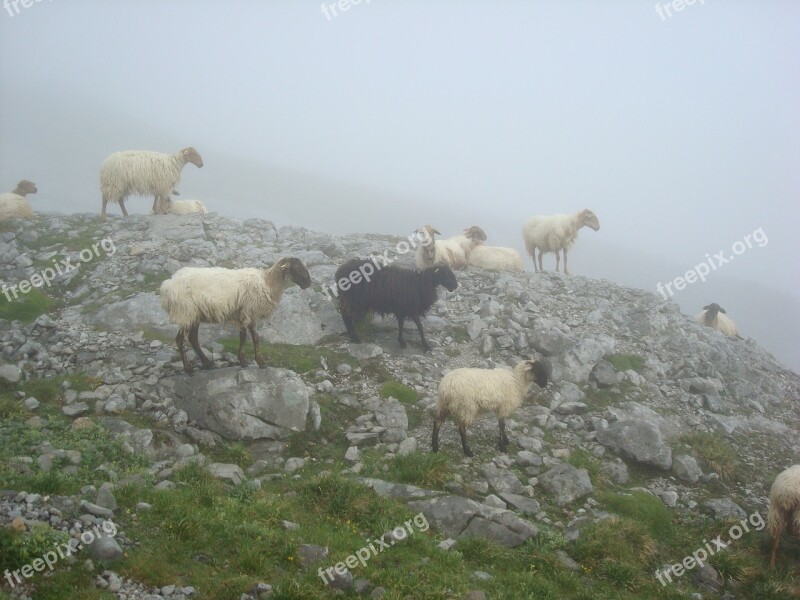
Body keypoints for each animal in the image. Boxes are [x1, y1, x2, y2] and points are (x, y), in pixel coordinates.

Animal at [159, 258, 310, 376]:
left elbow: (242, 337)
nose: (308, 283)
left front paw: (242, 361)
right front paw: (261, 362)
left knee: (193, 339)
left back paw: (207, 364)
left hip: (194, 315)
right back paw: (188, 369)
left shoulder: (242, 314)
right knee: (181, 340)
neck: (268, 282)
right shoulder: (251, 312)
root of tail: (167, 285)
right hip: (186, 312)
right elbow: (255, 338)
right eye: (297, 267)